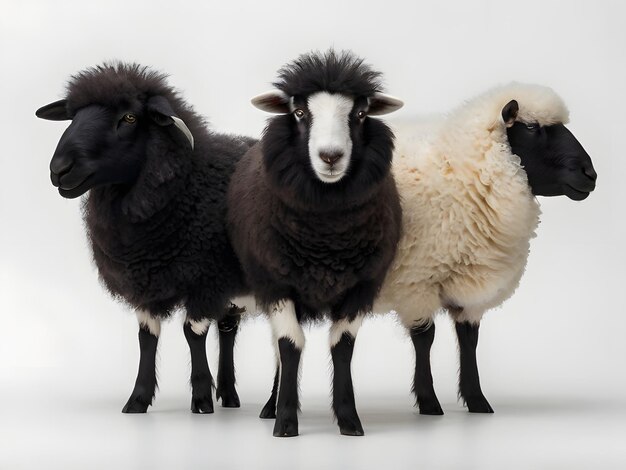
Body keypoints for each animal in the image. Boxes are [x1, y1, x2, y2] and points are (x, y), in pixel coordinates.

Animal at [34, 63, 251, 414]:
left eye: (129, 117)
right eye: (72, 117)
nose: (60, 169)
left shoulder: (205, 281)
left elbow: (193, 333)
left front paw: (201, 399)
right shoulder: (146, 284)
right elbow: (147, 338)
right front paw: (137, 400)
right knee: (228, 330)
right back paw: (230, 397)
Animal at [227, 49, 402, 436]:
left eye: (361, 113)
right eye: (299, 112)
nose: (330, 156)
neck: (327, 236)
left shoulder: (362, 286)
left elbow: (342, 346)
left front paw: (349, 419)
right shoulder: (275, 283)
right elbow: (290, 345)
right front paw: (285, 420)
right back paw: (270, 406)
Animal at [370, 84, 596, 414]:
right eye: (532, 128)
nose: (590, 174)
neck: (461, 170)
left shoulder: (468, 286)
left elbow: (469, 339)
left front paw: (476, 400)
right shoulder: (417, 281)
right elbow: (425, 338)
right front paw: (428, 401)